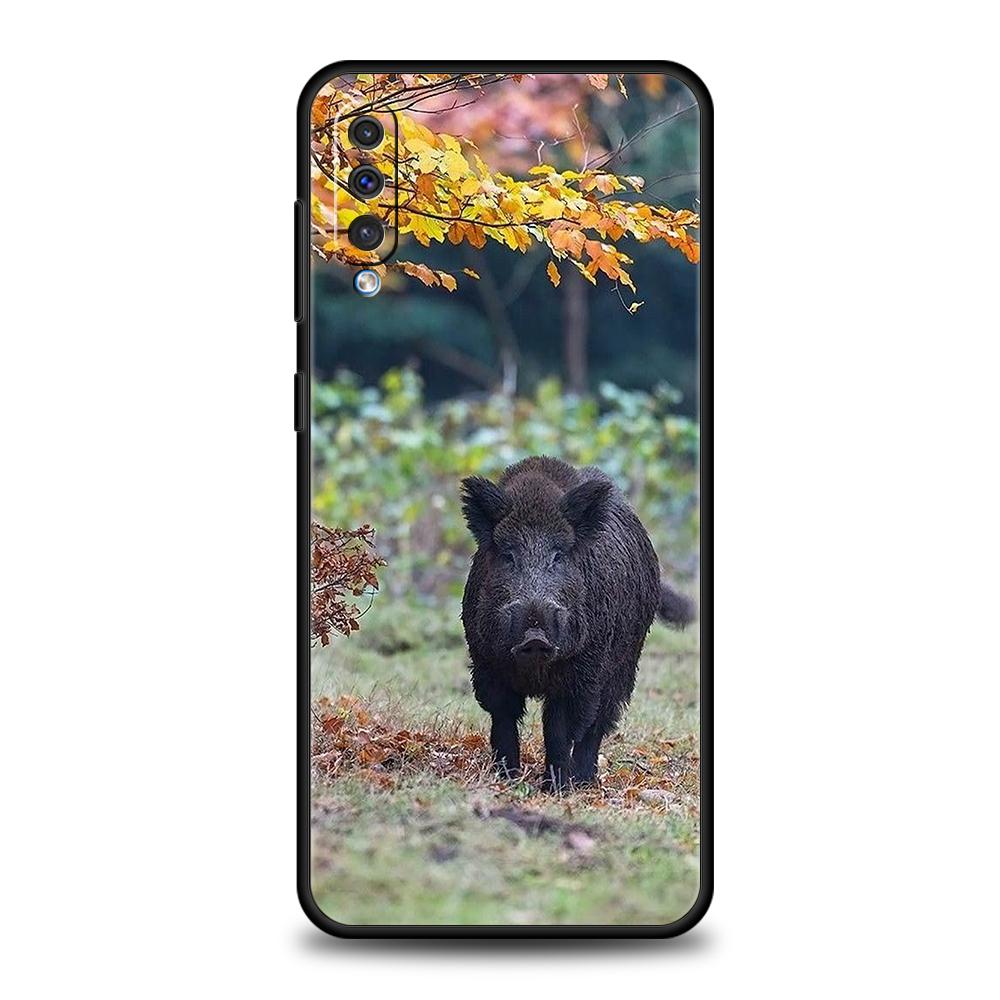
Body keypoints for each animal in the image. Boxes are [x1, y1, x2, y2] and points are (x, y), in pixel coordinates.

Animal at [460, 456, 694, 790]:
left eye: (559, 555)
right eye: (508, 555)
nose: (535, 635)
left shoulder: (584, 670)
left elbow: (559, 727)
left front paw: (555, 789)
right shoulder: (485, 662)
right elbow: (503, 718)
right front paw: (507, 780)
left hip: (624, 665)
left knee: (600, 722)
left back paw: (584, 781)